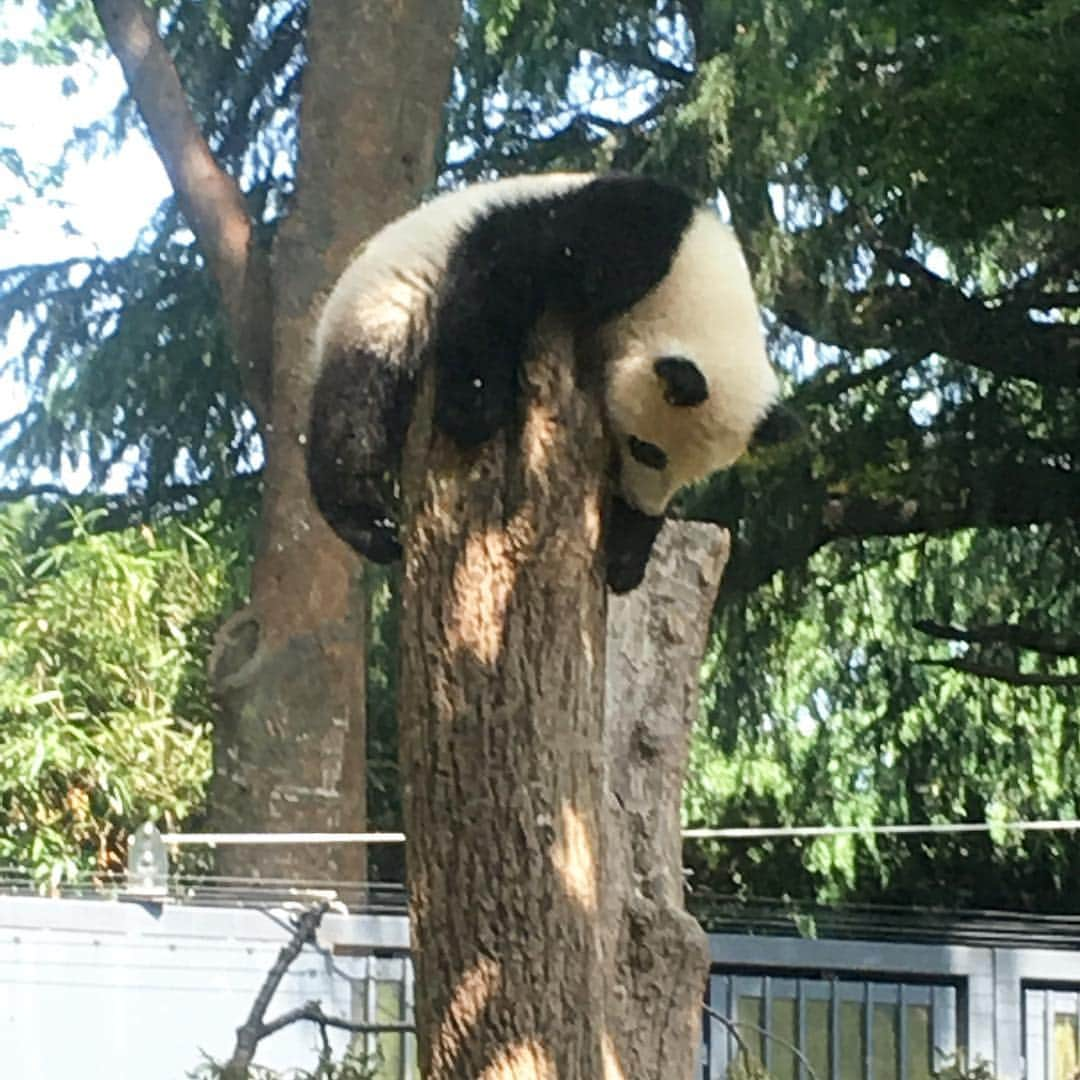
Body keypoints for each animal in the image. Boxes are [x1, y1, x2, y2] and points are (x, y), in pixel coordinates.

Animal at [304, 170, 786, 591]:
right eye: (648, 451)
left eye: (691, 477)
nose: (642, 503)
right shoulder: (627, 238)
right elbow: (506, 272)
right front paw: (474, 408)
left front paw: (628, 555)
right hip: (378, 308)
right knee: (355, 411)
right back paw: (368, 523)